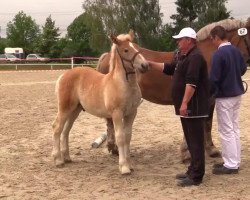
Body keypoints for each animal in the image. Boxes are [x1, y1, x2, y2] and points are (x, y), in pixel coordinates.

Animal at [52, 30, 148, 174]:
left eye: (137, 47)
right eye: (126, 50)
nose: (145, 65)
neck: (122, 84)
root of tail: (64, 75)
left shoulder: (132, 113)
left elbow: (128, 137)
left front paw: (130, 164)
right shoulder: (116, 114)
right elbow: (120, 137)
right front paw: (124, 167)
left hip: (75, 110)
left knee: (66, 130)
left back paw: (67, 157)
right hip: (64, 108)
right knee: (57, 128)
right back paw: (58, 160)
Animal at [96, 18, 250, 162]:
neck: (206, 56)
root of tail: (107, 56)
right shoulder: (206, 100)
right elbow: (206, 124)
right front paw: (204, 150)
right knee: (110, 122)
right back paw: (114, 148)